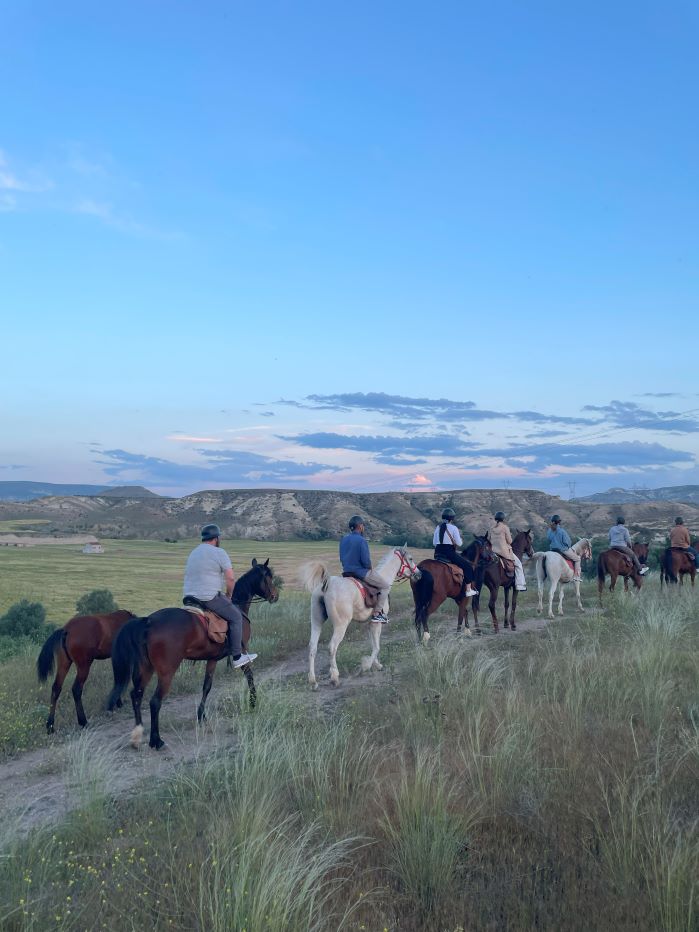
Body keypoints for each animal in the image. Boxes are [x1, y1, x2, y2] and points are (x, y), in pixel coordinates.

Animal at [106, 560, 278, 748]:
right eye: (269, 577)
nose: (275, 596)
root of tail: (148, 622)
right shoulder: (242, 651)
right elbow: (249, 675)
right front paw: (253, 702)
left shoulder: (212, 659)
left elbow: (206, 686)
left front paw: (201, 716)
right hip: (167, 672)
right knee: (155, 701)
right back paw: (156, 740)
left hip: (146, 668)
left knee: (136, 695)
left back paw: (137, 735)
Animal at [300, 544, 422, 688]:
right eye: (411, 558)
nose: (419, 574)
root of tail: (326, 584)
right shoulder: (376, 623)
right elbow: (377, 646)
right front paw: (366, 665)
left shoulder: (369, 623)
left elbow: (373, 643)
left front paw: (376, 664)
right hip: (341, 625)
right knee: (332, 647)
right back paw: (334, 677)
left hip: (316, 621)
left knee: (313, 647)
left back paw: (313, 681)